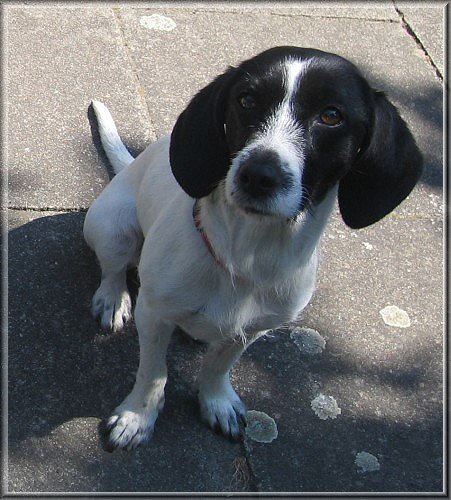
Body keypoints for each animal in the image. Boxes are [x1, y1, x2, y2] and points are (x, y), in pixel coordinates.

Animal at [84, 47, 424, 454]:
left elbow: (219, 366)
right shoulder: (154, 316)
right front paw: (137, 417)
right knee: (114, 269)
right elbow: (153, 373)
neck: (245, 257)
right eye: (246, 100)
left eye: (331, 115)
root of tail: (130, 167)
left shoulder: (254, 328)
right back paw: (112, 299)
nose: (258, 175)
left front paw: (216, 401)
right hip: (112, 228)